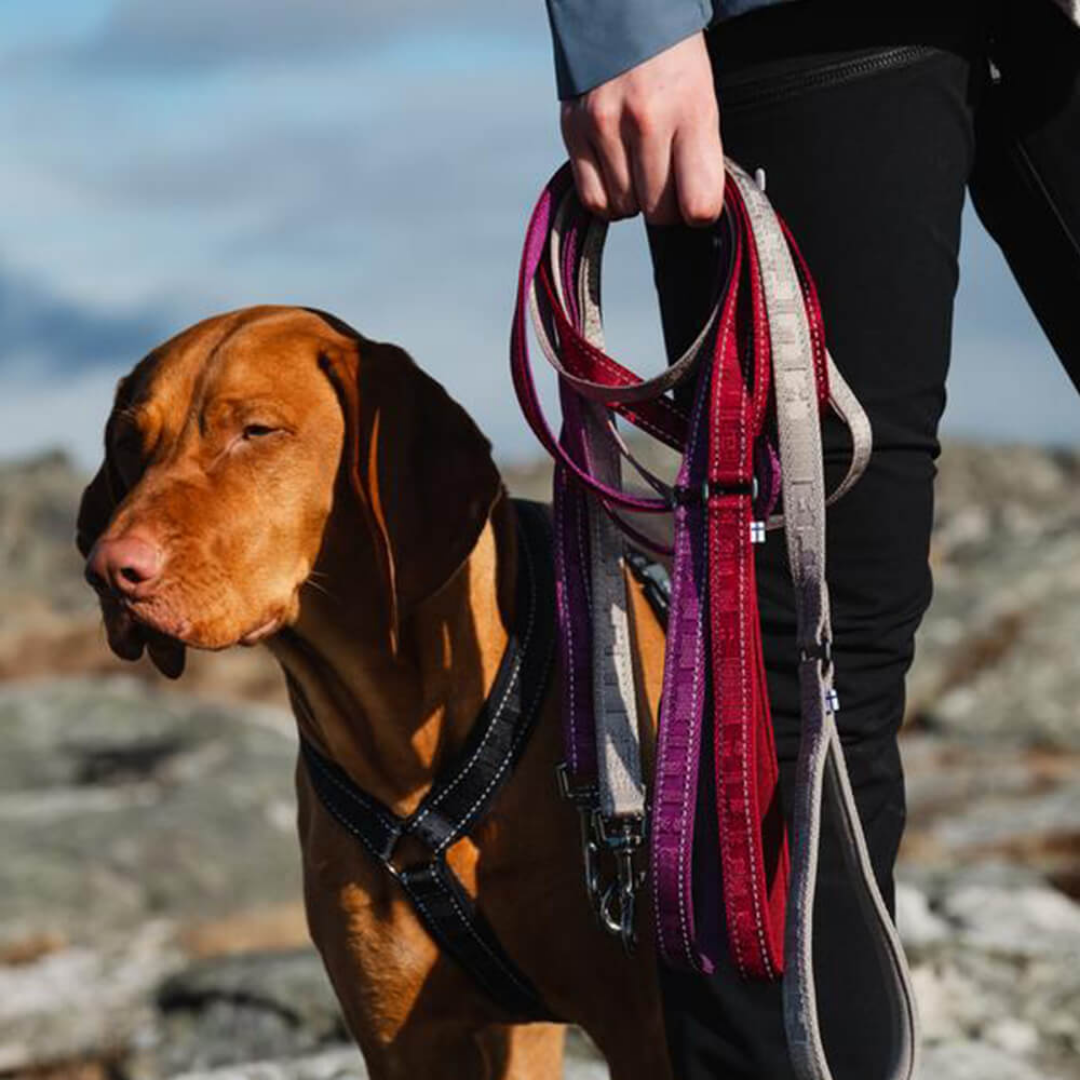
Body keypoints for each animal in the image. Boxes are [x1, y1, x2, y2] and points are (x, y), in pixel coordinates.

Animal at [76, 306, 669, 1080]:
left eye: (256, 431)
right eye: (127, 443)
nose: (107, 570)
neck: (406, 751)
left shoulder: (644, 1028)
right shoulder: (402, 1040)